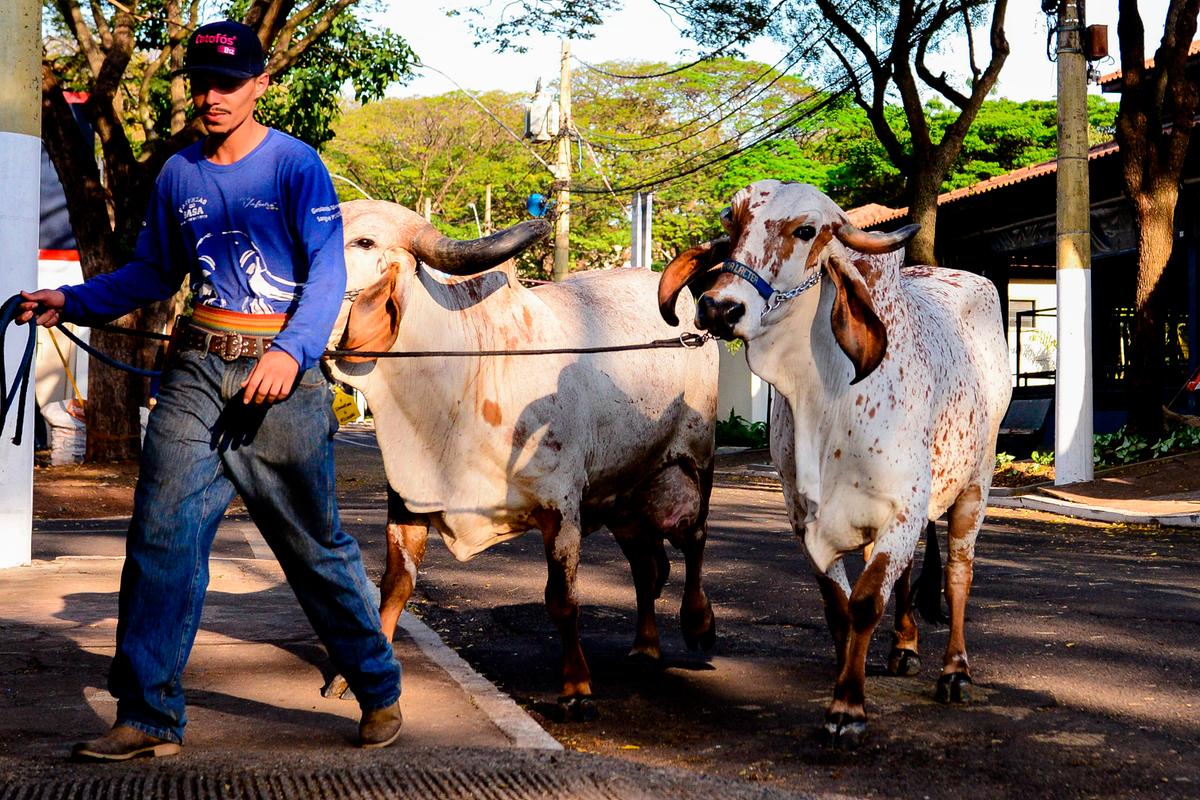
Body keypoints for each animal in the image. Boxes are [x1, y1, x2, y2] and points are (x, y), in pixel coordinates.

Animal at [324, 199, 715, 719]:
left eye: (364, 242)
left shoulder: (561, 507)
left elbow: (562, 599)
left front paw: (576, 685)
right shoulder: (409, 499)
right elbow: (396, 584)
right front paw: (358, 676)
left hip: (695, 459)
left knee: (694, 539)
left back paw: (698, 622)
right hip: (623, 492)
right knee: (644, 565)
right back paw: (645, 645)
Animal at [657, 181, 1012, 753]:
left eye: (807, 230)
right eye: (732, 223)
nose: (718, 308)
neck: (824, 399)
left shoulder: (903, 507)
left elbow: (866, 602)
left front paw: (847, 708)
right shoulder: (805, 515)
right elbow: (839, 605)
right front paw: (852, 673)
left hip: (975, 482)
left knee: (958, 572)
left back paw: (955, 672)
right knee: (909, 573)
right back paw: (904, 647)